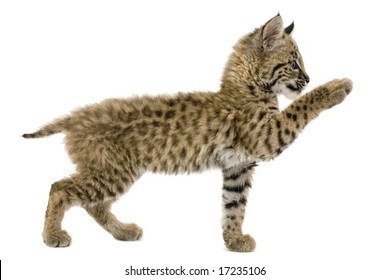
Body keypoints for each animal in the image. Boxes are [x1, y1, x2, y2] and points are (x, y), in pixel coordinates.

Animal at [22, 14, 352, 253]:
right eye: (294, 63)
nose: (308, 78)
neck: (251, 87)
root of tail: (75, 116)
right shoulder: (267, 136)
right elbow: (299, 107)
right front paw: (336, 88)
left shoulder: (237, 165)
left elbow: (234, 205)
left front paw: (233, 240)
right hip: (112, 170)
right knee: (60, 188)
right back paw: (52, 235)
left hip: (114, 170)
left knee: (94, 203)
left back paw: (123, 231)